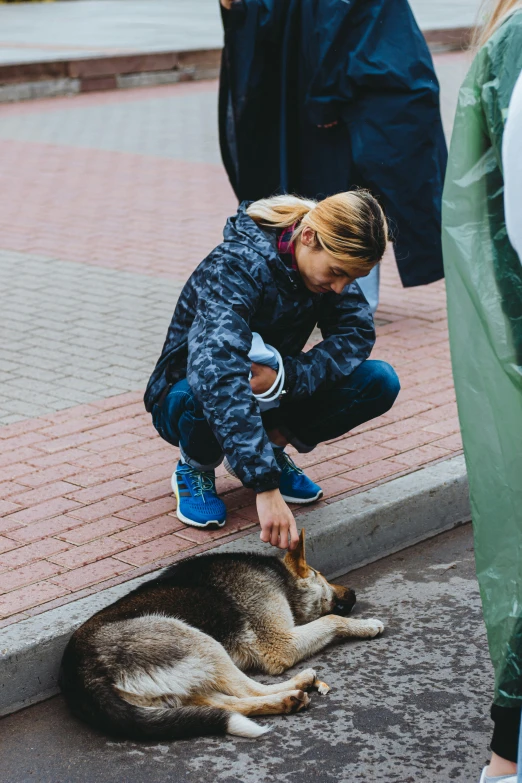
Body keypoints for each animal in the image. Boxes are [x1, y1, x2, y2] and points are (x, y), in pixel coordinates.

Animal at [60, 528, 382, 740]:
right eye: (323, 576)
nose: (353, 593)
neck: (280, 576)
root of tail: (79, 676)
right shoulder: (280, 644)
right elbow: (332, 619)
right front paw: (366, 625)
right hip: (198, 640)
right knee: (249, 689)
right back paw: (297, 685)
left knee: (228, 703)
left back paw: (285, 701)